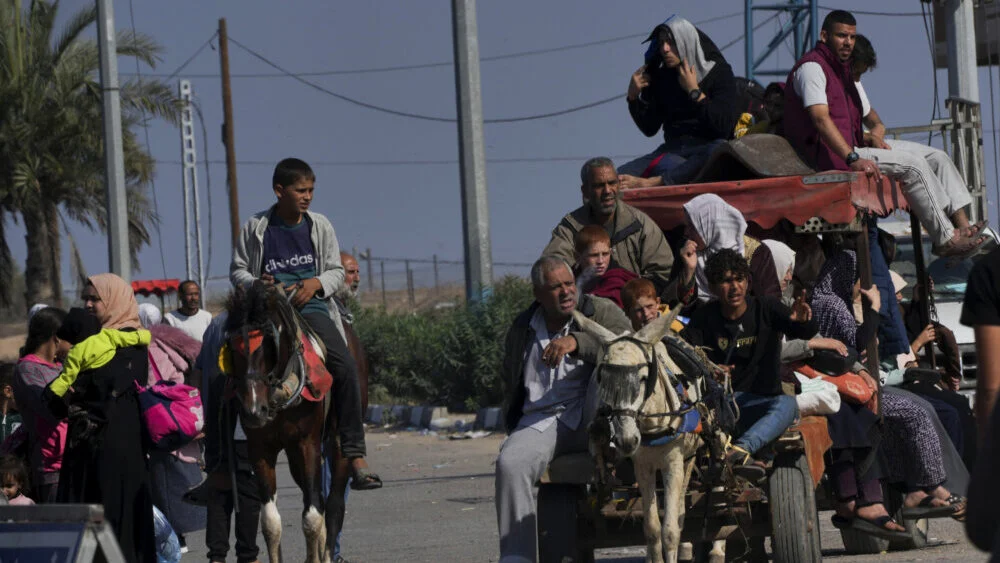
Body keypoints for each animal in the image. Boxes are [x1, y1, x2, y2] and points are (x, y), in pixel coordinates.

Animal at [223, 284, 368, 560]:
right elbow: (271, 522)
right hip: (292, 456)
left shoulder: (307, 444)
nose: (254, 411)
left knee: (333, 505)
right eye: (231, 350)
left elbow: (312, 518)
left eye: (268, 343)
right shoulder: (260, 449)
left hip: (338, 439)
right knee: (318, 500)